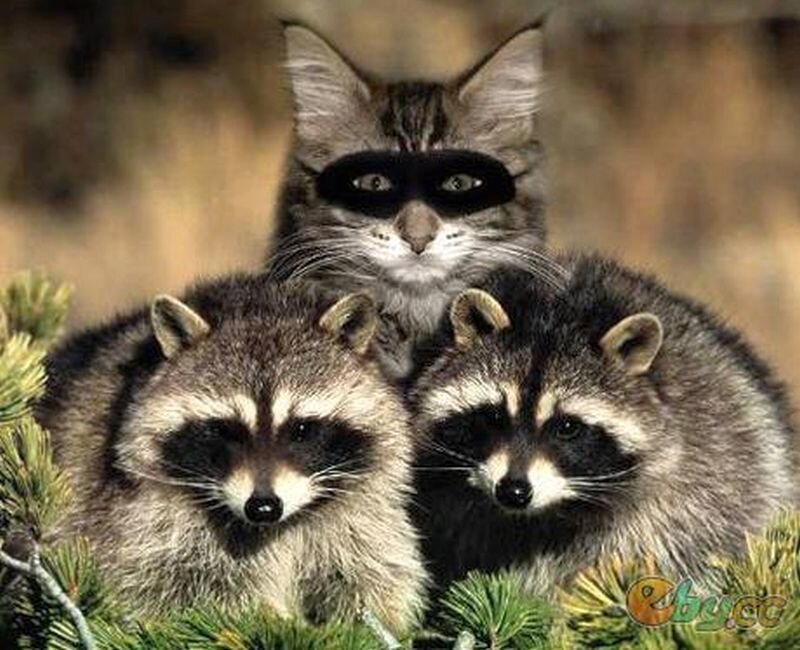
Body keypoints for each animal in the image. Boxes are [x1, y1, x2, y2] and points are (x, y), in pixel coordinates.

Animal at [35, 274, 426, 632]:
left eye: (301, 429)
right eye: (225, 430)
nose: (263, 507)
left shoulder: (360, 515)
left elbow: (369, 574)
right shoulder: (140, 517)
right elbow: (174, 587)